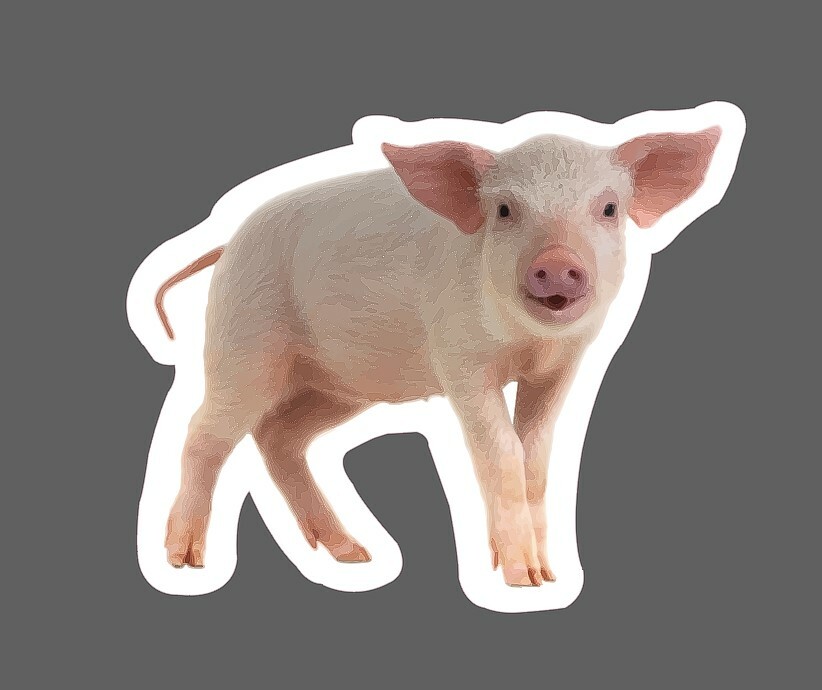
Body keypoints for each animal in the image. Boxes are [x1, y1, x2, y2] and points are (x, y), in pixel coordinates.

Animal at [156, 126, 721, 587]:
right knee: (204, 432)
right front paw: (523, 580)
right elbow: (501, 452)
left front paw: (547, 575)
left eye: (608, 209)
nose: (558, 263)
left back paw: (354, 555)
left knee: (278, 436)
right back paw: (185, 560)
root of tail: (228, 245)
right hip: (243, 343)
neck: (526, 342)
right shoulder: (462, 362)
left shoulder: (562, 367)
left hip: (336, 384)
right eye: (505, 211)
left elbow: (535, 459)